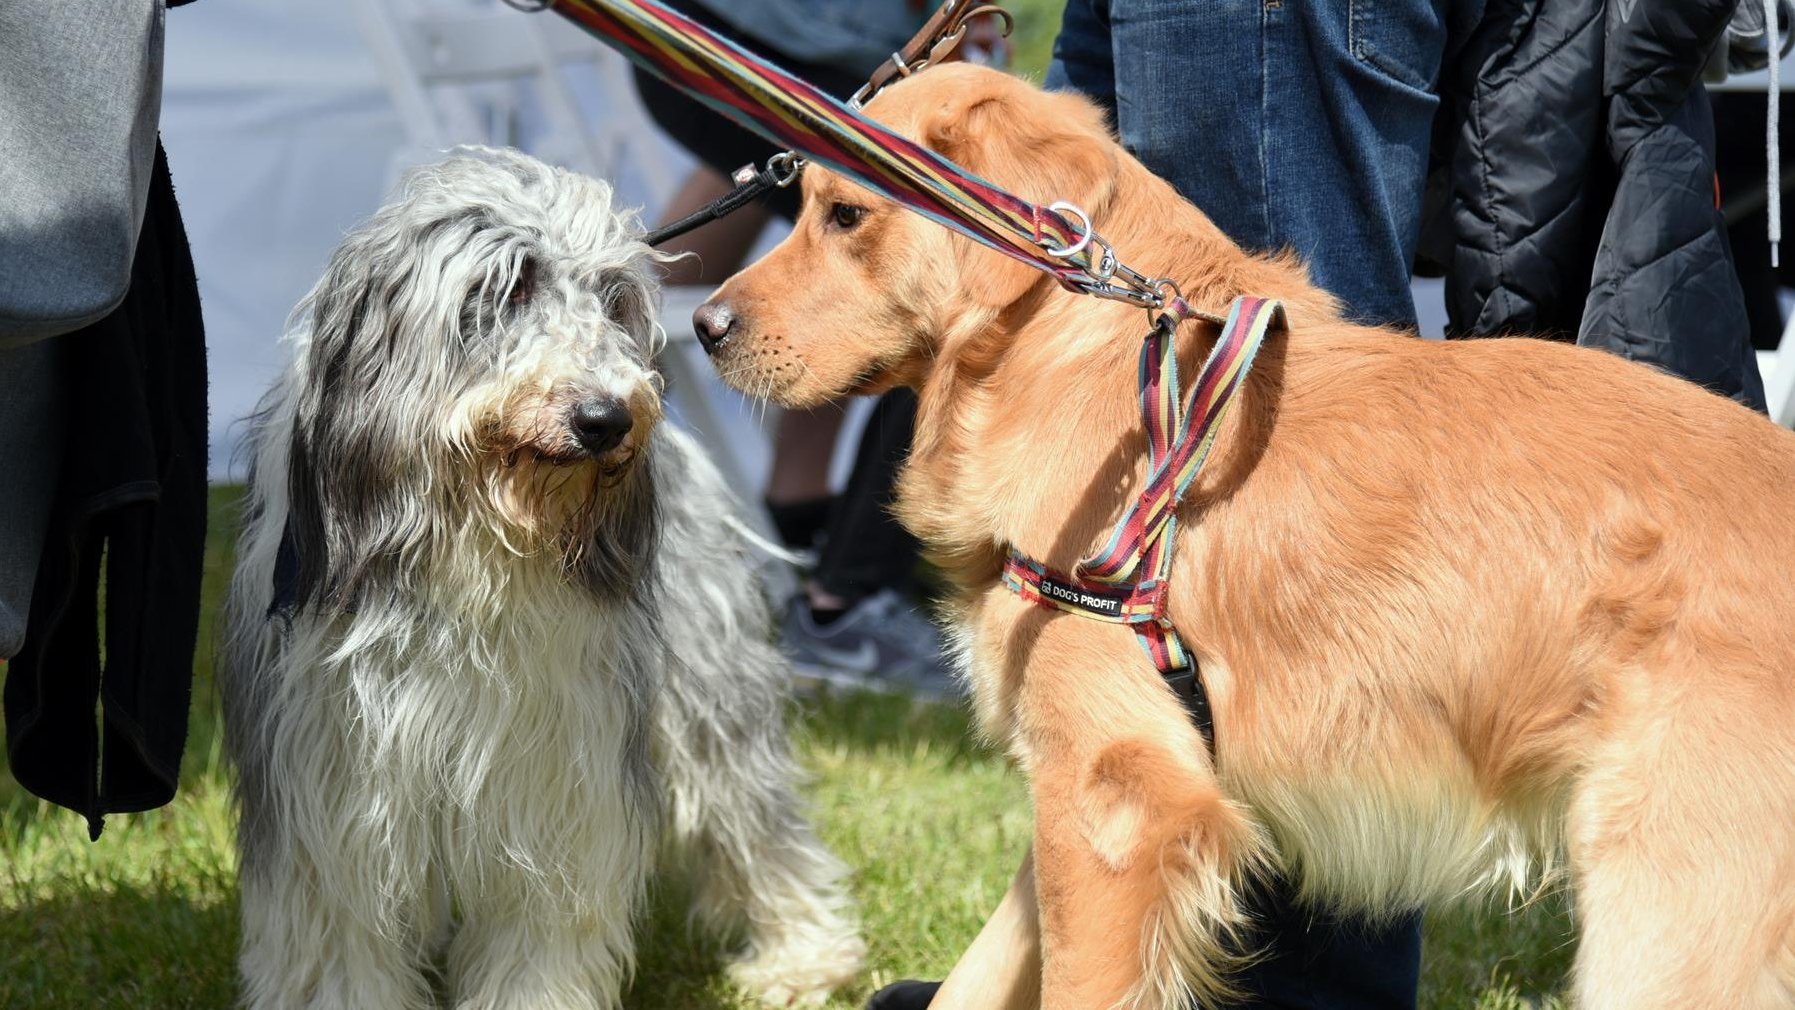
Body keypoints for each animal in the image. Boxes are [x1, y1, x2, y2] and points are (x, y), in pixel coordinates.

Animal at [220, 148, 865, 1010]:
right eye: (505, 290)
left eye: (613, 299)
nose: (606, 419)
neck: (471, 541)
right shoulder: (333, 804)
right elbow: (344, 948)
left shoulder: (554, 787)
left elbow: (540, 937)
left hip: (709, 691)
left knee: (755, 819)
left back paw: (803, 955)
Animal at [685, 63, 1795, 1010]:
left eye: (846, 213)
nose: (701, 326)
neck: (1073, 354)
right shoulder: (1100, 774)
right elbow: (979, 974)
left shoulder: (1120, 802)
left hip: (1666, 916)